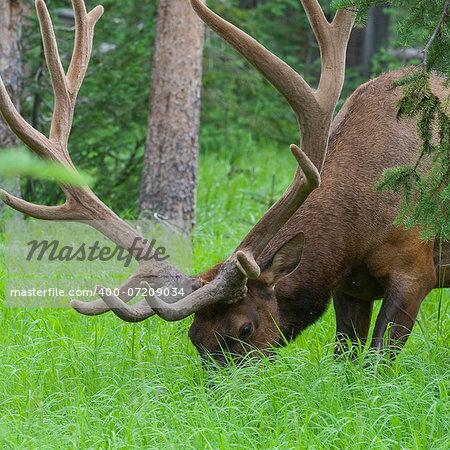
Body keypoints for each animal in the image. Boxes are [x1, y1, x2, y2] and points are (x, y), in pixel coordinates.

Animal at [0, 0, 448, 366]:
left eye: (244, 329)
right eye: (194, 336)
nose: (220, 399)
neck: (360, 225)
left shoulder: (415, 269)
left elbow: (377, 363)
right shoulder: (351, 287)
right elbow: (345, 358)